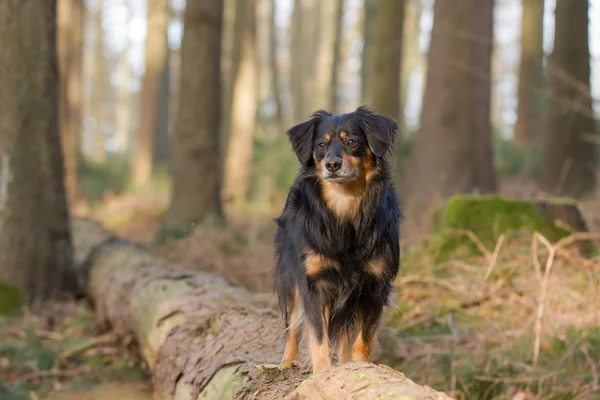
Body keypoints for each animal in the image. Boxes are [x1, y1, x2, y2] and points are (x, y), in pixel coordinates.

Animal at [274, 105, 400, 372]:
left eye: (352, 142)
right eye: (321, 145)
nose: (332, 164)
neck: (344, 204)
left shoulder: (373, 285)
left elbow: (362, 340)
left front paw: (358, 368)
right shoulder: (313, 283)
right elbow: (319, 337)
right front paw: (322, 373)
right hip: (290, 274)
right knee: (292, 322)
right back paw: (287, 361)